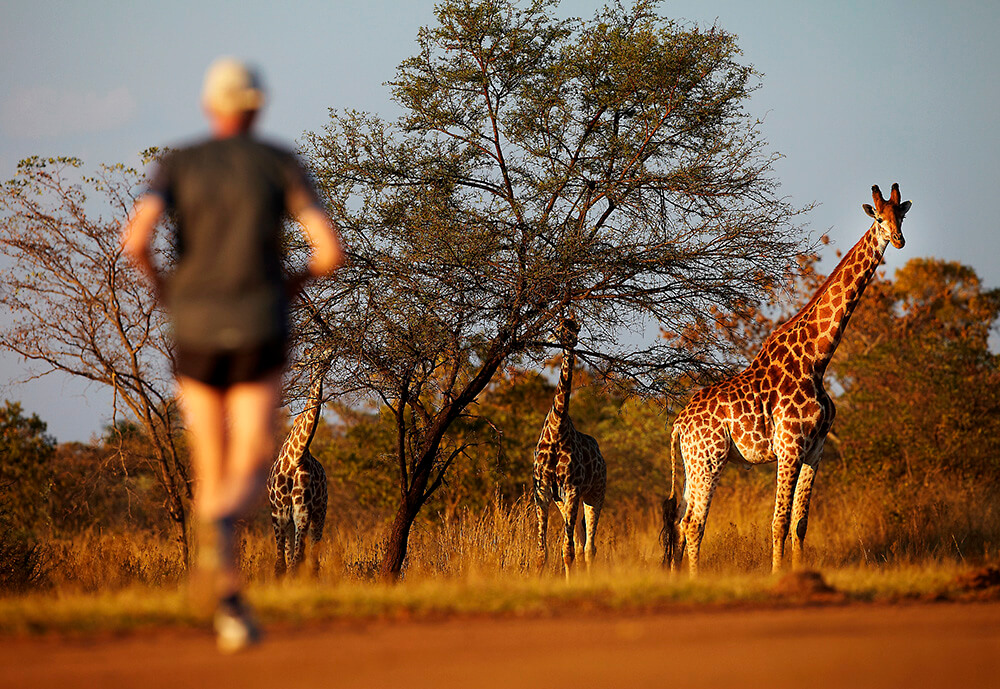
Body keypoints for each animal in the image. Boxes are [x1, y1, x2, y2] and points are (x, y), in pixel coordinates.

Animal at [266, 350, 328, 576]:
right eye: (314, 358)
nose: (330, 353)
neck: (296, 457)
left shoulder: (303, 512)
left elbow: (296, 562)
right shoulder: (278, 513)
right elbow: (280, 565)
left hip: (320, 512)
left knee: (312, 559)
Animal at [532, 316, 608, 576]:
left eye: (576, 329)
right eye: (560, 329)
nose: (570, 342)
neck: (557, 428)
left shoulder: (573, 487)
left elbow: (568, 551)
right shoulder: (542, 489)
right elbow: (542, 552)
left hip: (595, 494)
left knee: (589, 547)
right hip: (562, 500)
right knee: (579, 539)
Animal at [664, 183, 916, 576]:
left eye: (900, 215)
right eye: (878, 217)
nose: (899, 240)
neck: (817, 358)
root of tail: (679, 423)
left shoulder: (817, 448)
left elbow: (800, 522)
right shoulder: (790, 447)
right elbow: (779, 521)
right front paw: (778, 576)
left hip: (693, 463)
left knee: (679, 521)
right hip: (709, 459)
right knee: (693, 523)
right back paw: (693, 579)